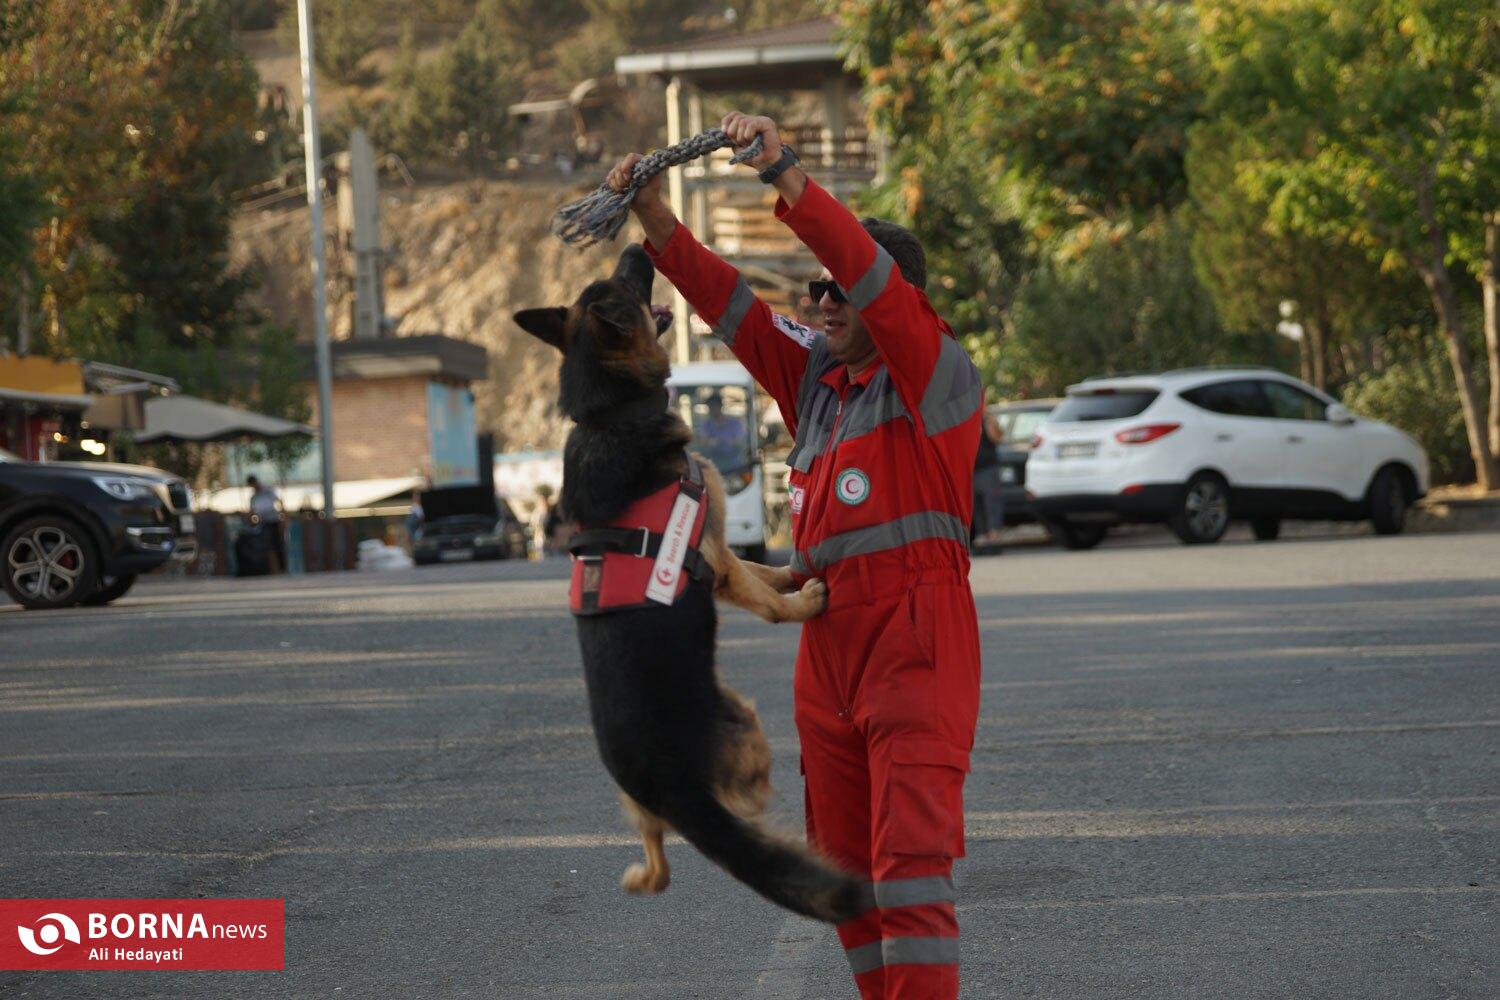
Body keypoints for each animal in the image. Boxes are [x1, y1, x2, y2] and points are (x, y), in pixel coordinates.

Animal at [513, 244, 867, 924]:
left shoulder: (722, 553)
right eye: (626, 281)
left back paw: (637, 874)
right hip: (745, 725)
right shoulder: (715, 557)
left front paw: (790, 570)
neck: (609, 413)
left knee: (660, 866)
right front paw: (806, 597)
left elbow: (761, 572)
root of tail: (670, 785)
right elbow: (767, 600)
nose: (636, 247)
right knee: (748, 806)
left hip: (642, 810)